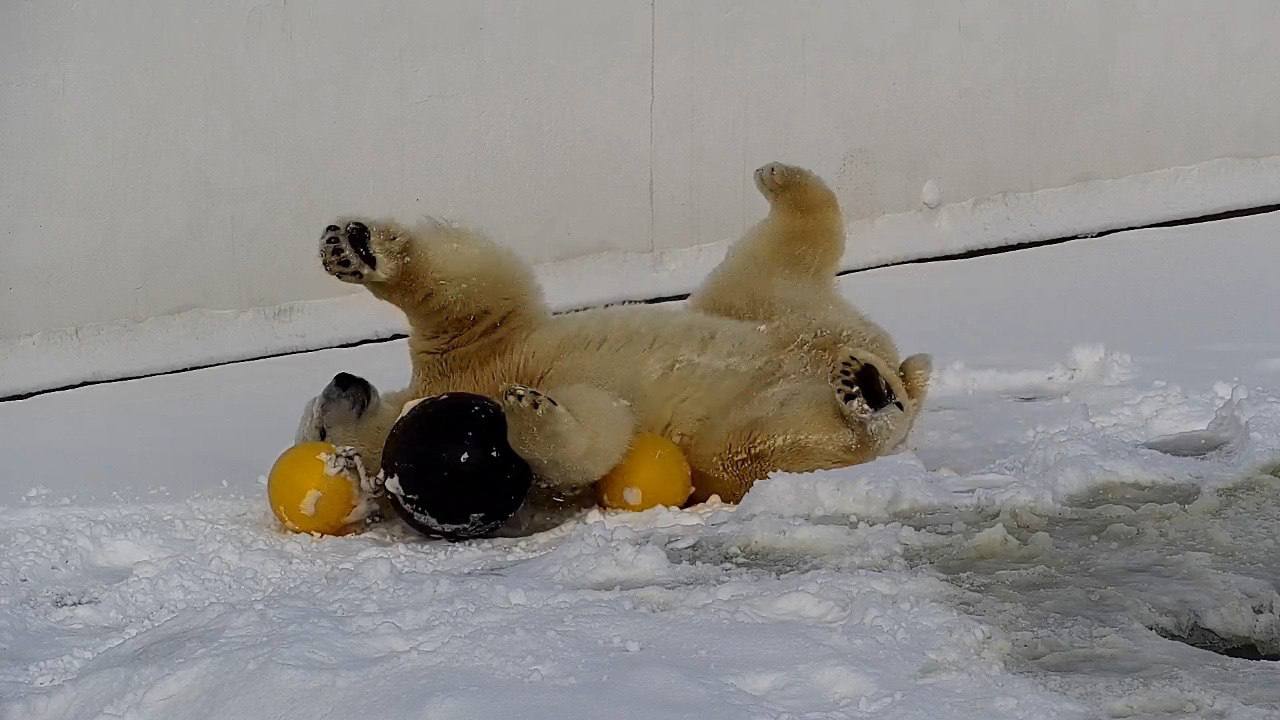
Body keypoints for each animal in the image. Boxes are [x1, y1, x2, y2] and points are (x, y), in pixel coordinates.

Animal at [293, 161, 926, 504]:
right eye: (318, 428)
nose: (339, 378)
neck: (431, 389)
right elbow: (598, 435)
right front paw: (529, 408)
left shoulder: (474, 350)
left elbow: (472, 293)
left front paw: (349, 247)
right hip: (738, 430)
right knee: (780, 437)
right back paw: (867, 393)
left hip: (767, 310)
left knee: (773, 261)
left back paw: (779, 179)